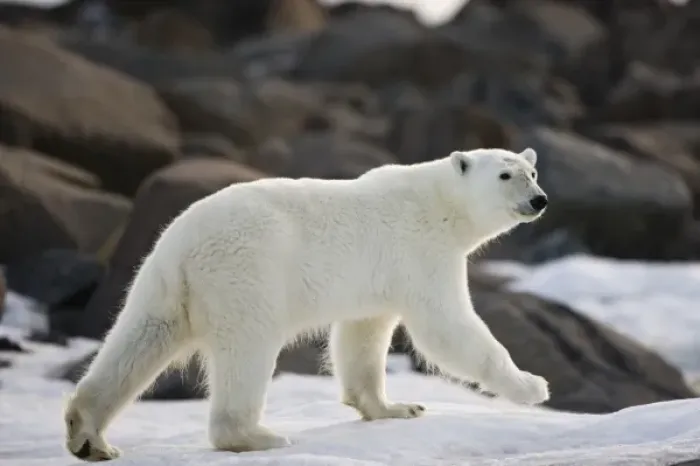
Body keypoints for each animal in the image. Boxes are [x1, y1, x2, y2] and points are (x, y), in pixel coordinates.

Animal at [64, 147, 550, 461]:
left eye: (532, 172)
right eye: (506, 175)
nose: (539, 199)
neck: (440, 203)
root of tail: (182, 245)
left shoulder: (374, 279)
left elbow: (362, 337)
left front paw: (396, 407)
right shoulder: (420, 252)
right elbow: (447, 329)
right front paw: (532, 386)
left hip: (161, 286)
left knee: (137, 341)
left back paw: (89, 437)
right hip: (247, 272)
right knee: (248, 347)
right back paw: (259, 437)